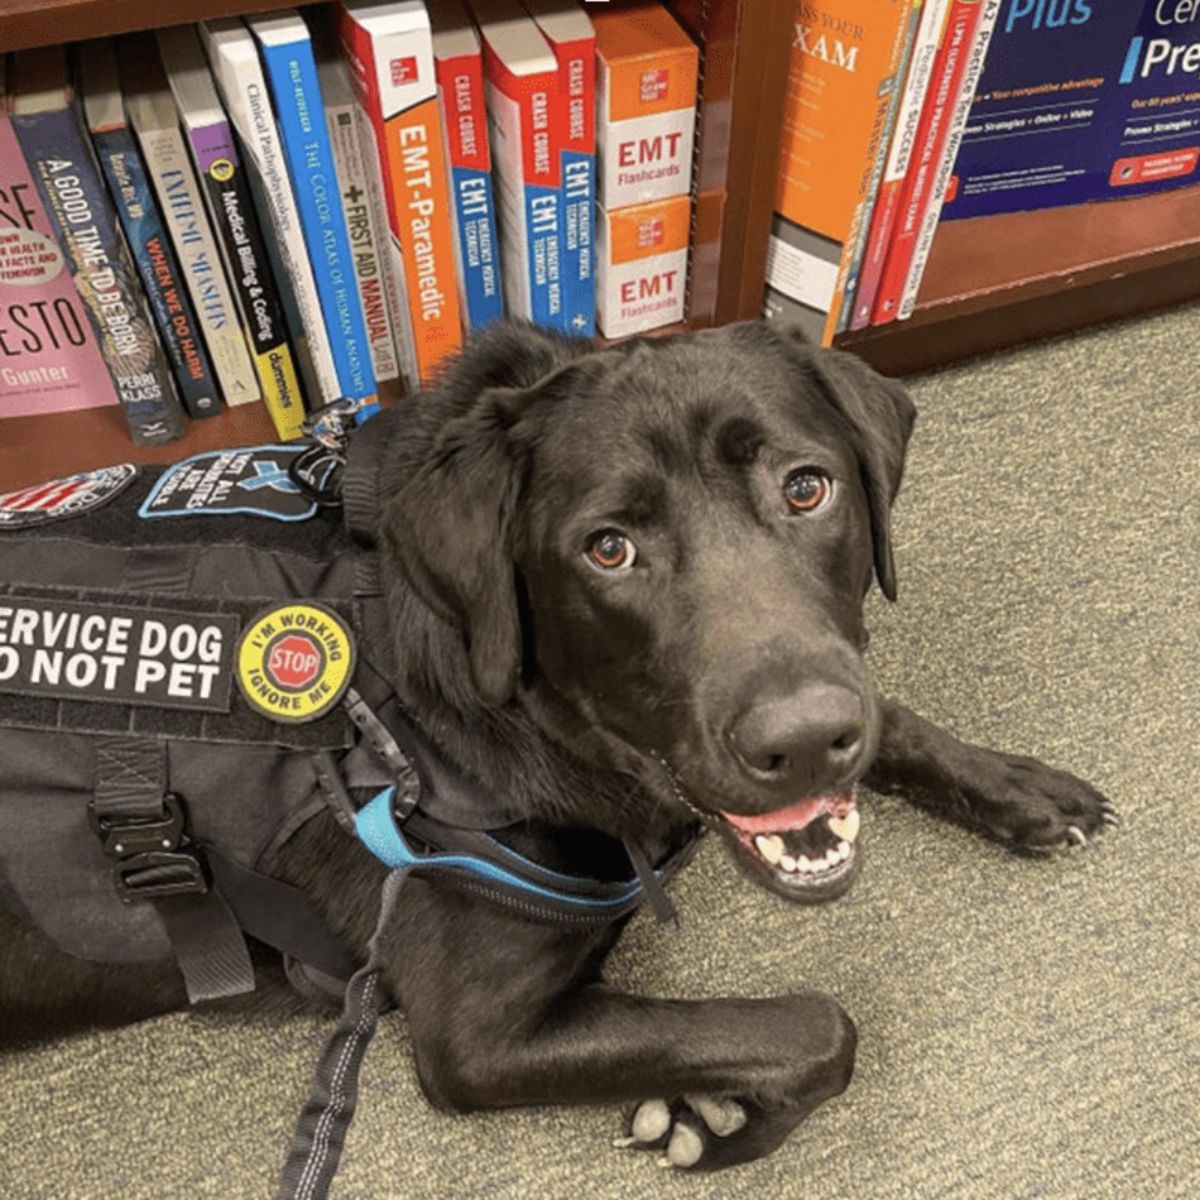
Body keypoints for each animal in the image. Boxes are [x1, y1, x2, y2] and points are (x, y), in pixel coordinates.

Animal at [0, 321, 1113, 1171]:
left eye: (807, 489)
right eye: (607, 549)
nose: (803, 743)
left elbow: (886, 715)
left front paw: (1015, 785)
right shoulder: (477, 1039)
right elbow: (822, 1027)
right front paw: (717, 1115)